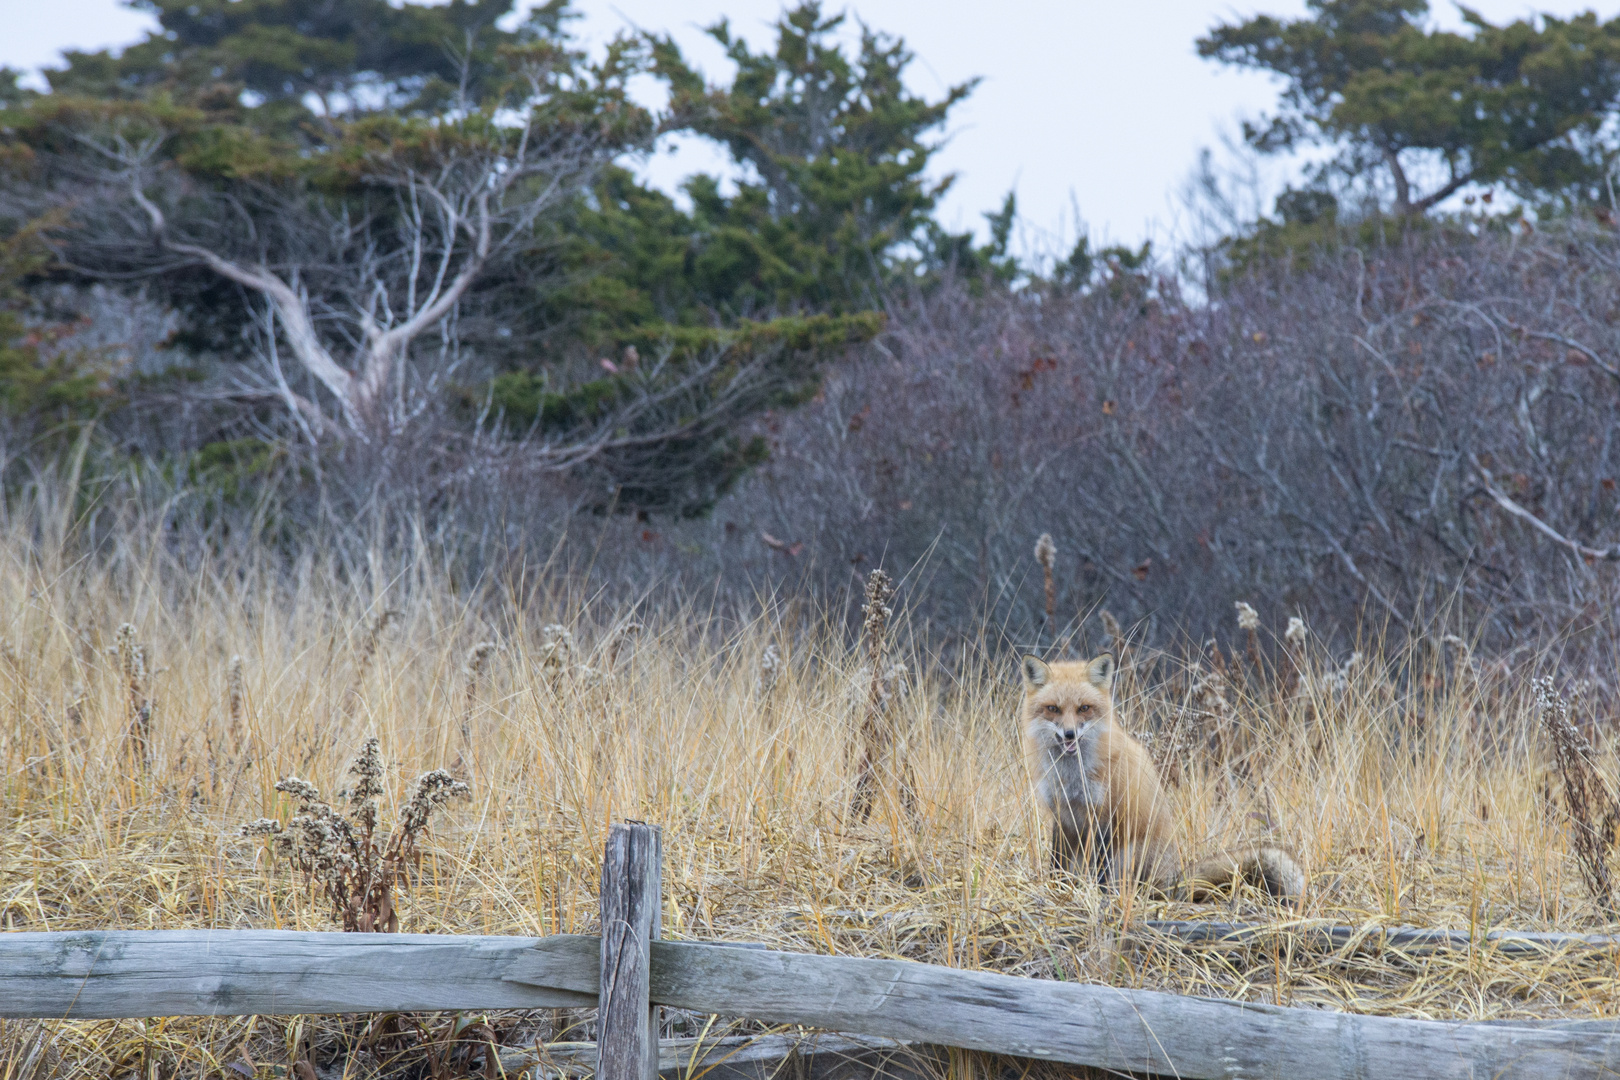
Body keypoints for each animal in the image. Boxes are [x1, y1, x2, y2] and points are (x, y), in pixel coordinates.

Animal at [1023, 660, 1302, 906]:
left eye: (1084, 708)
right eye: (1053, 708)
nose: (1069, 734)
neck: (1071, 775)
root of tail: (1174, 880)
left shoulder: (1106, 817)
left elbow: (1100, 870)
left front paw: (1097, 896)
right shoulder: (1063, 815)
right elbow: (1057, 863)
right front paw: (1057, 889)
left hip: (1131, 852)